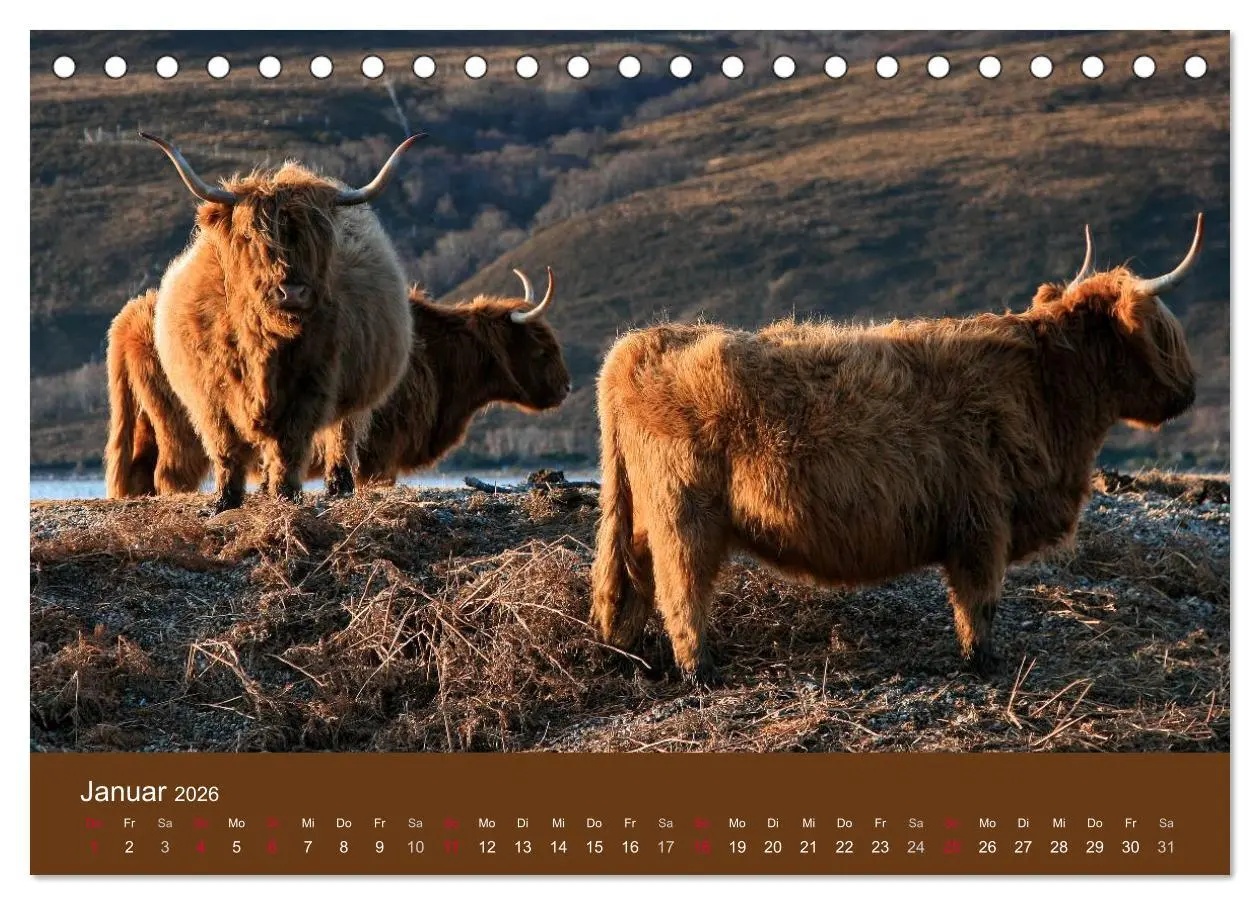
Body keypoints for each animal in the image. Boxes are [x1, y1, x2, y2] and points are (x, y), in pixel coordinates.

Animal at [104, 269, 571, 495]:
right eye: (543, 349)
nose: (566, 388)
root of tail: (129, 316)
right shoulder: (381, 453)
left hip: (147, 421)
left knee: (139, 472)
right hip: (184, 427)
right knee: (170, 475)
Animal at [140, 132, 421, 512]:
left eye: (320, 240)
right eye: (251, 237)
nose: (293, 292)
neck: (265, 343)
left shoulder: (311, 386)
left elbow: (290, 444)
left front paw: (287, 493)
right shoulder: (211, 394)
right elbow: (226, 447)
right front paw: (225, 500)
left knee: (342, 435)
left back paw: (339, 485)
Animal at [590, 216, 1203, 686]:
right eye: (1163, 331)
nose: (1190, 392)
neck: (1047, 389)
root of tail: (640, 342)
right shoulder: (982, 522)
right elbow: (979, 601)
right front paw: (983, 661)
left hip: (645, 513)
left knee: (633, 576)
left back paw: (634, 654)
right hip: (684, 513)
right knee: (681, 590)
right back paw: (701, 670)